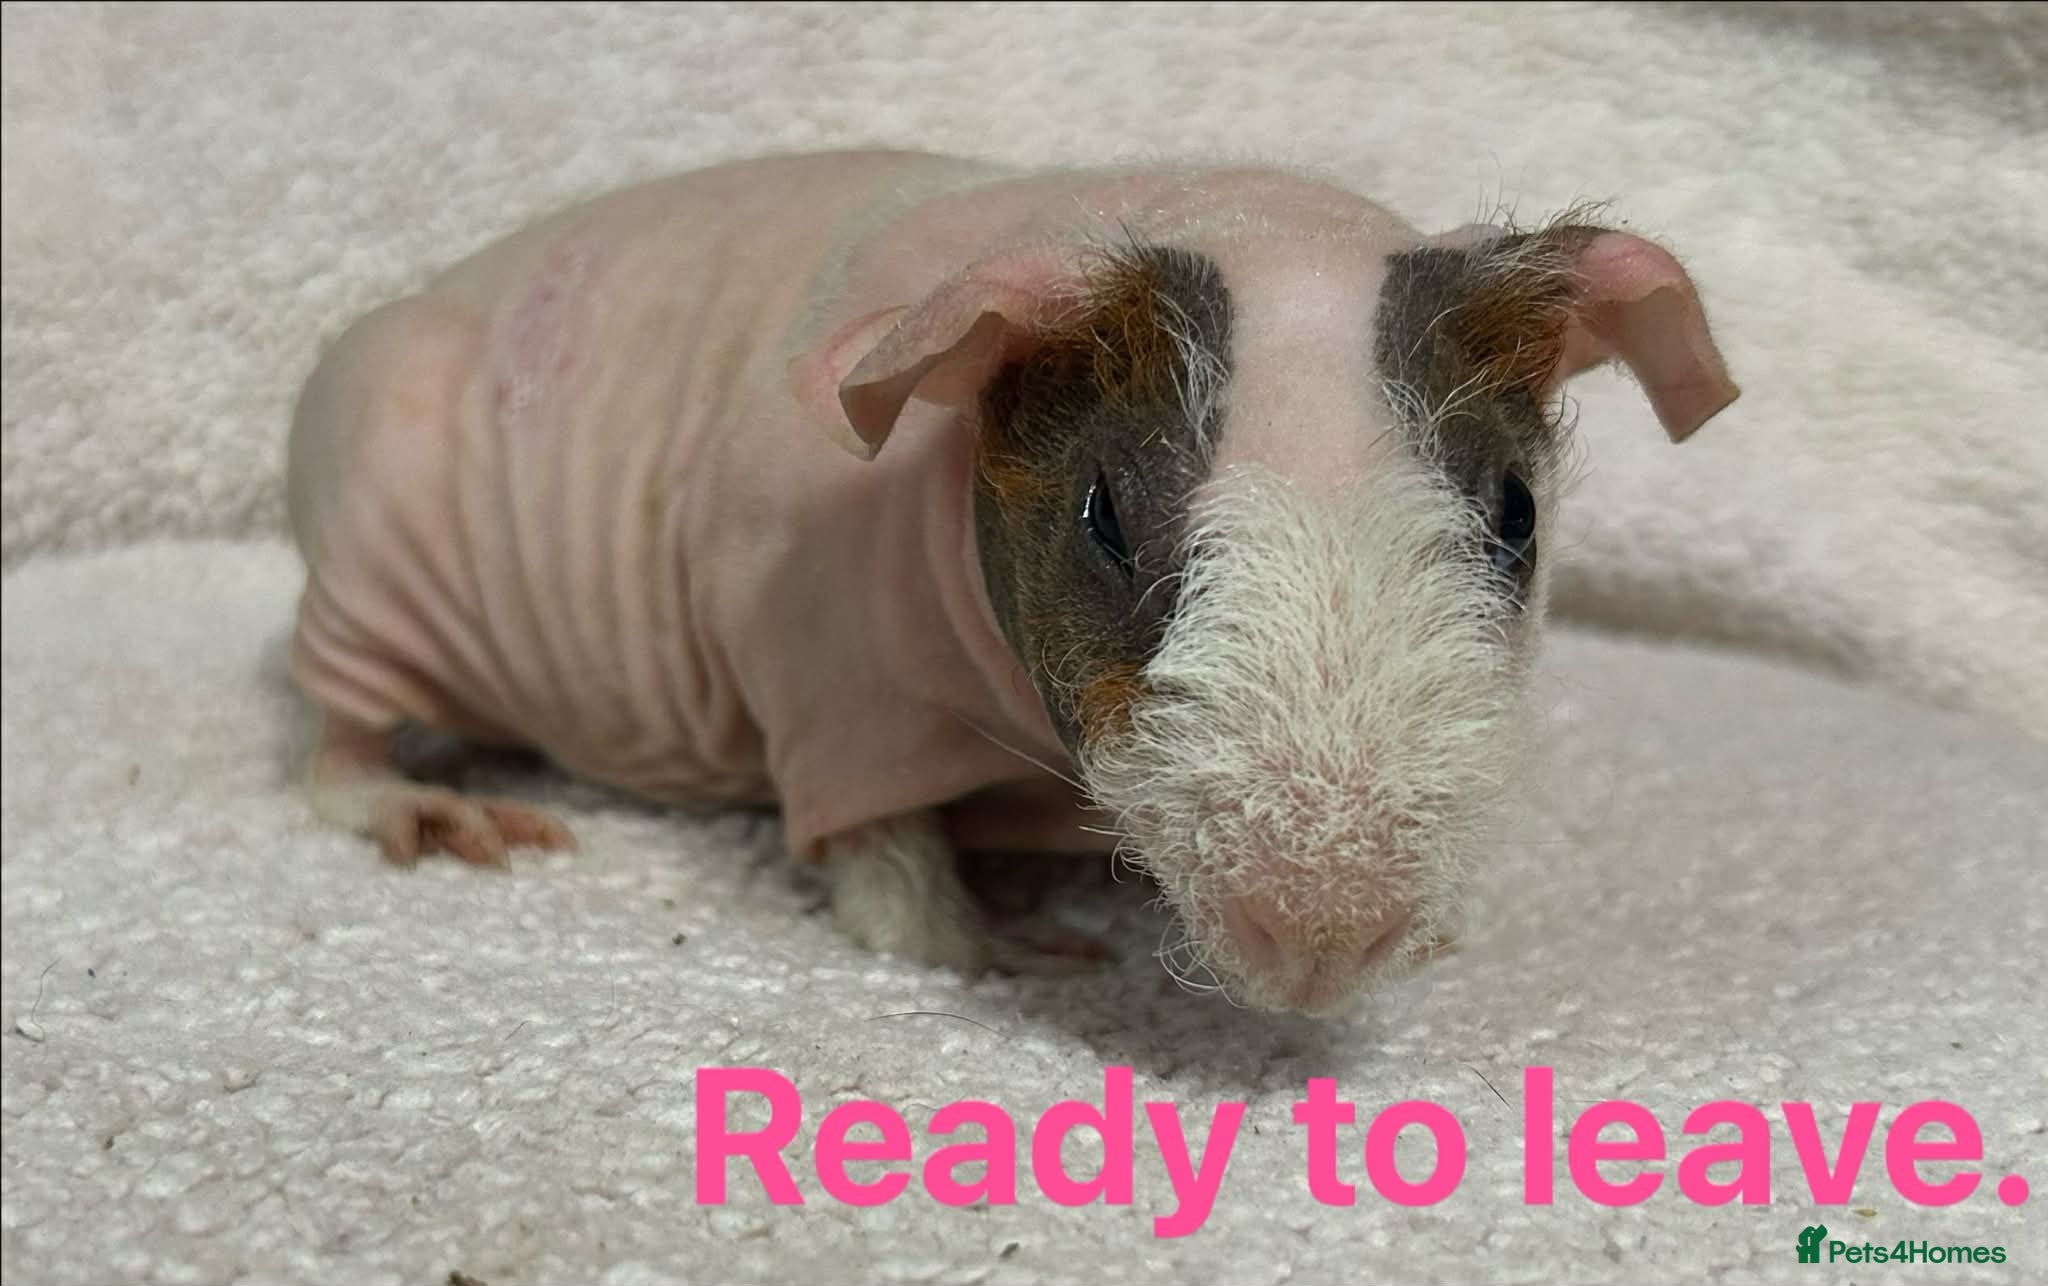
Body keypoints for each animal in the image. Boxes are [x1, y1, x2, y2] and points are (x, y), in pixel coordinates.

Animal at [285, 149, 1737, 1015]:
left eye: (1515, 513)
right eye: (1105, 514)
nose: (1323, 938)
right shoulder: (831, 688)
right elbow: (887, 878)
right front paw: (1020, 948)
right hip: (368, 568)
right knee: (334, 740)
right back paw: (434, 812)